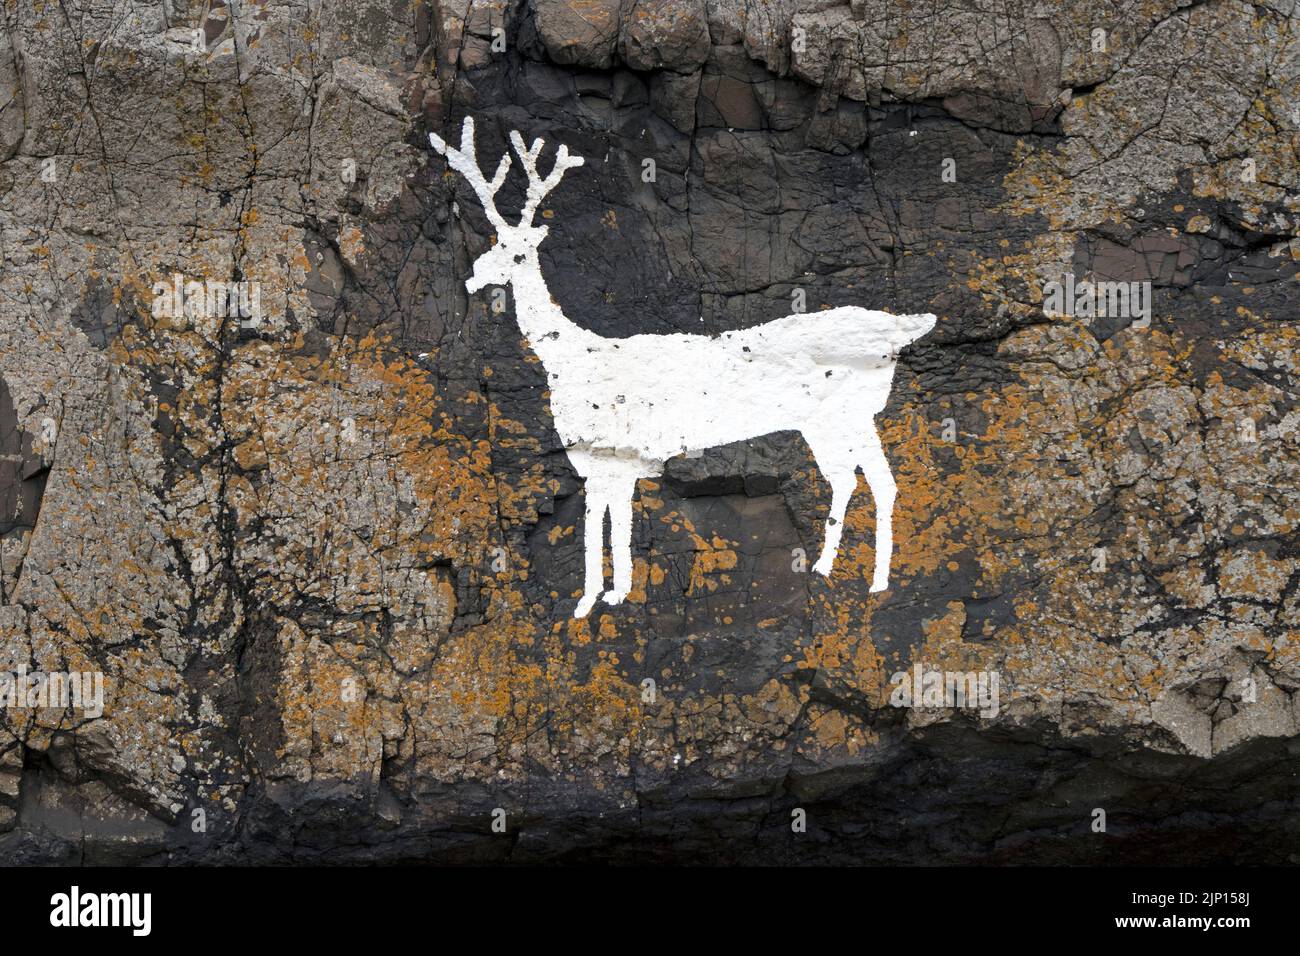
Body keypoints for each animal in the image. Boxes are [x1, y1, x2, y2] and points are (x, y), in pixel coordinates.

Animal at [434, 117, 935, 621]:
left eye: (516, 252)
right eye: (493, 244)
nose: (473, 279)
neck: (570, 360)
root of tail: (902, 330)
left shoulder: (613, 453)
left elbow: (606, 525)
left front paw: (596, 598)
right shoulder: (605, 461)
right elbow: (610, 522)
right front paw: (608, 595)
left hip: (845, 416)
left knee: (873, 482)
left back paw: (867, 579)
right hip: (836, 422)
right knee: (858, 480)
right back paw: (836, 570)